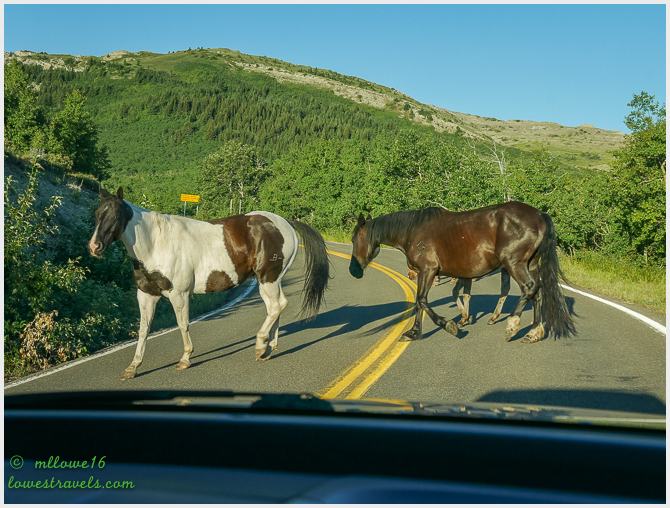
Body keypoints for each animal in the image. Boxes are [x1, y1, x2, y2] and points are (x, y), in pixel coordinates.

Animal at [88, 187, 329, 380]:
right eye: (98, 214)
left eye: (115, 215)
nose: (94, 247)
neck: (156, 243)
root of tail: (286, 223)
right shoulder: (146, 294)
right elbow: (143, 329)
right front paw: (133, 367)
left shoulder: (179, 294)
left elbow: (183, 324)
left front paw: (185, 359)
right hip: (270, 282)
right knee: (276, 307)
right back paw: (267, 349)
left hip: (267, 279)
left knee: (278, 306)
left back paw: (261, 344)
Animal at [349, 202, 575, 343]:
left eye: (354, 239)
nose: (353, 271)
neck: (413, 231)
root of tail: (539, 215)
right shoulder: (433, 273)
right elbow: (421, 303)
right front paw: (414, 332)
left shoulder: (428, 270)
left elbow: (422, 300)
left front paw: (449, 325)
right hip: (531, 264)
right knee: (537, 293)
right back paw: (534, 331)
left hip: (514, 264)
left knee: (529, 288)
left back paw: (512, 325)